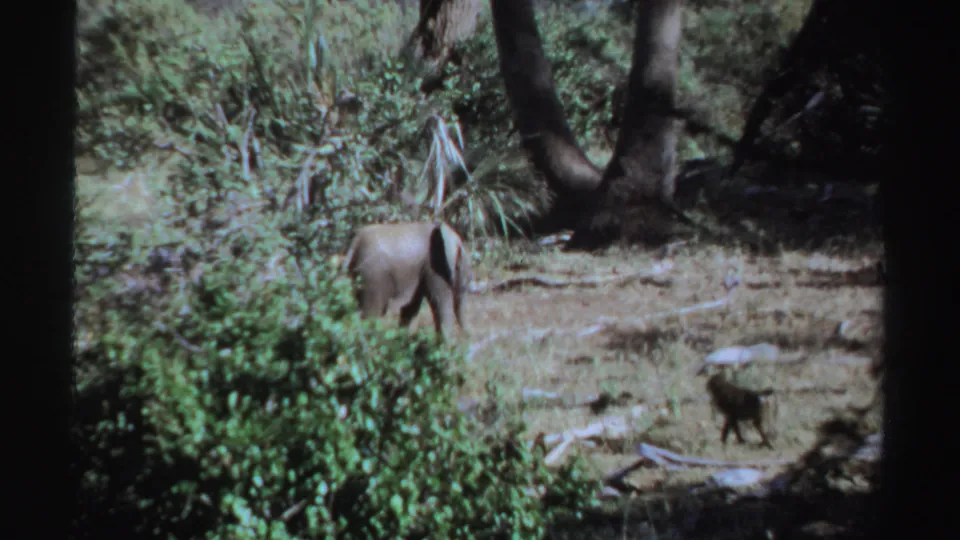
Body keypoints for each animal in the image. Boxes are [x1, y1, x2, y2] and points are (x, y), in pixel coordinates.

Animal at [343, 221, 473, 340]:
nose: (468, 337)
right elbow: (441, 303)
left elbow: (411, 308)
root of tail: (355, 243)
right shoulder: (434, 267)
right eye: (468, 279)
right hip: (372, 276)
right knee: (371, 314)